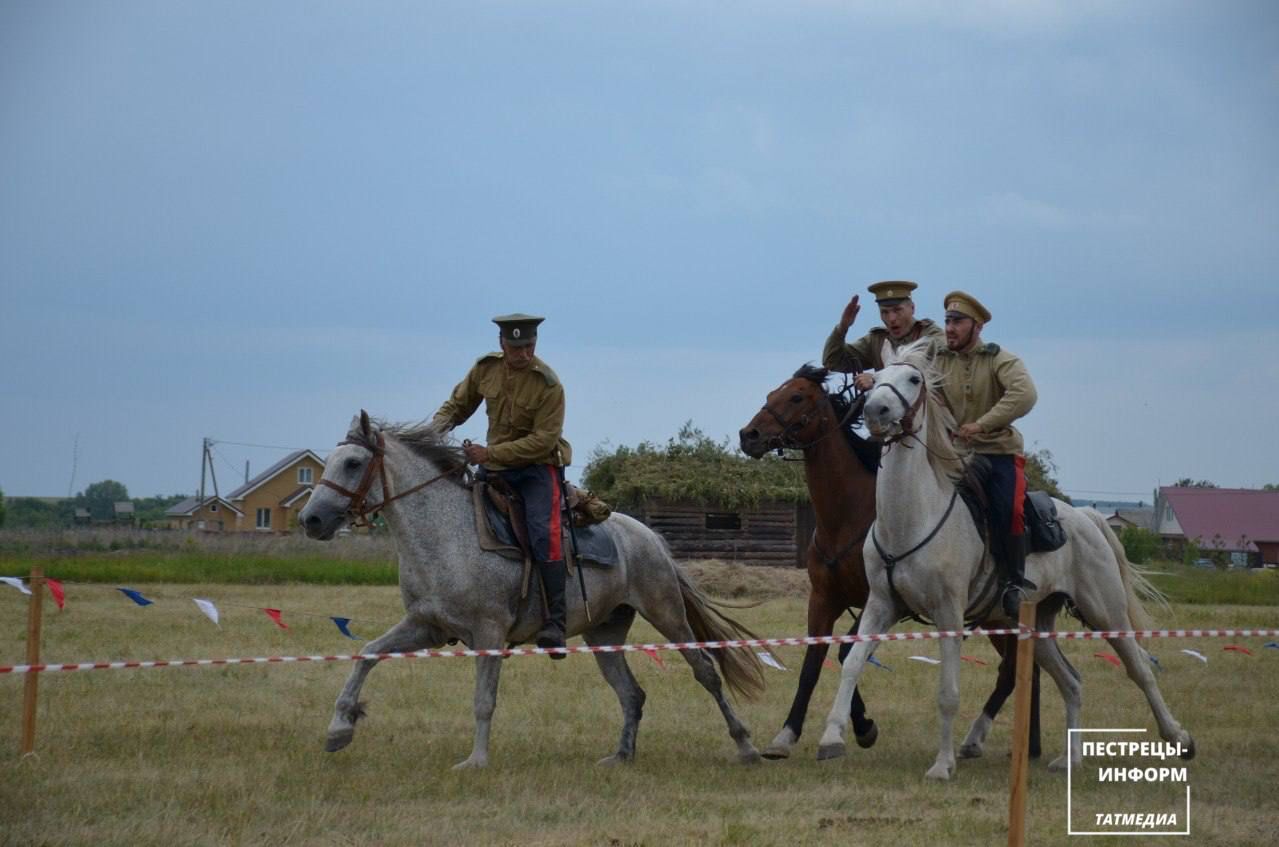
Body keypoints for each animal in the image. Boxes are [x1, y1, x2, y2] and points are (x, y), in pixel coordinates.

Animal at [296, 414, 767, 772]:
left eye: (353, 462)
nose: (310, 520)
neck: (445, 534)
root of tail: (650, 537)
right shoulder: (425, 627)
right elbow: (367, 654)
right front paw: (339, 728)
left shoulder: (488, 633)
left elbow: (483, 700)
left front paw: (476, 761)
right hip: (604, 632)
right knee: (631, 692)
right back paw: (620, 756)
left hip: (667, 613)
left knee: (706, 671)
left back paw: (746, 746)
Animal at [741, 365, 1038, 762]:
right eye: (773, 393)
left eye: (797, 396)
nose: (749, 436)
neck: (847, 516)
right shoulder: (824, 600)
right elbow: (813, 662)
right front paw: (787, 734)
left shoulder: (880, 601)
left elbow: (846, 652)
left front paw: (863, 727)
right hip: (994, 619)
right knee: (1019, 668)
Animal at [813, 342, 1192, 777]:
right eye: (874, 378)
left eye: (913, 378)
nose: (877, 410)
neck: (912, 516)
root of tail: (1087, 517)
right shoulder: (881, 606)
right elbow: (852, 663)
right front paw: (831, 738)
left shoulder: (948, 614)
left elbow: (947, 693)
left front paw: (942, 765)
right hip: (1036, 624)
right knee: (1072, 681)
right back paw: (1070, 758)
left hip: (1105, 612)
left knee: (1140, 670)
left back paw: (1180, 738)